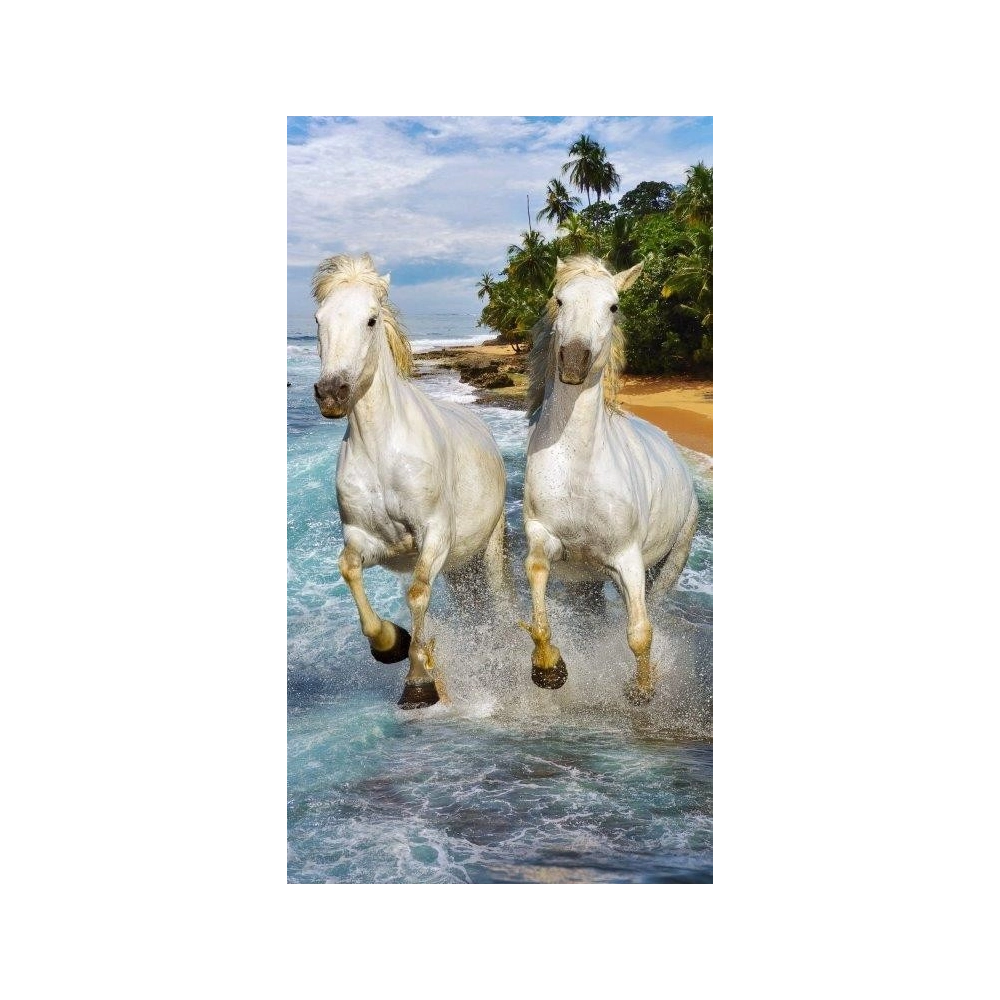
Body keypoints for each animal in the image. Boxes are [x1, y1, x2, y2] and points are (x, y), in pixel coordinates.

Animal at [311, 254, 509, 709]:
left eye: (370, 319)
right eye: (318, 319)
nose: (331, 393)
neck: (383, 452)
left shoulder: (434, 534)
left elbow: (417, 594)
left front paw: (419, 683)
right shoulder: (366, 538)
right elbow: (348, 568)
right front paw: (390, 644)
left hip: (489, 549)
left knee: (499, 601)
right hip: (459, 567)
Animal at [519, 255, 699, 704]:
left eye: (614, 306)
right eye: (559, 299)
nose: (573, 361)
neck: (579, 467)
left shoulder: (627, 558)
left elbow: (640, 632)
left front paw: (642, 691)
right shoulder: (546, 538)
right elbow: (539, 600)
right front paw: (548, 669)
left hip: (670, 560)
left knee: (654, 607)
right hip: (588, 584)